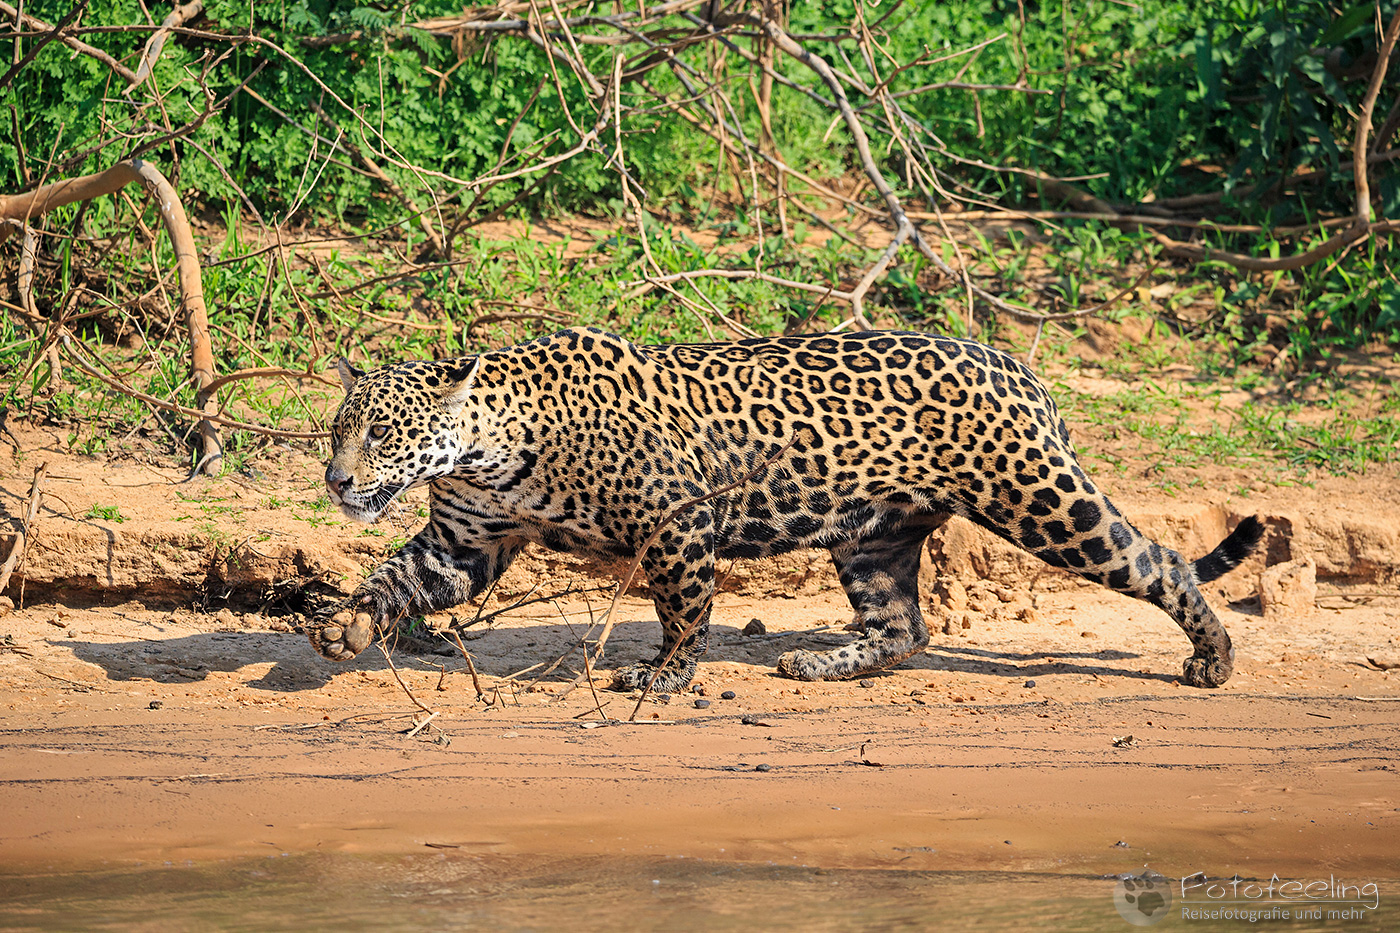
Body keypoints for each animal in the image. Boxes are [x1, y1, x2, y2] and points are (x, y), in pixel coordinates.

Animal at [309, 326, 1264, 693]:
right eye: (337, 431)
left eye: (382, 432)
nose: (335, 482)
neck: (492, 446)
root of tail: (1017, 366)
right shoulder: (465, 539)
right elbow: (395, 574)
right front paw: (343, 627)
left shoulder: (676, 518)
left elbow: (684, 607)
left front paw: (665, 675)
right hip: (874, 534)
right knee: (905, 625)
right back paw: (821, 663)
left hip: (1038, 499)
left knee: (1158, 561)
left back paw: (1213, 659)